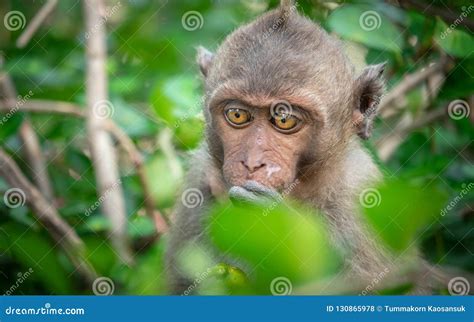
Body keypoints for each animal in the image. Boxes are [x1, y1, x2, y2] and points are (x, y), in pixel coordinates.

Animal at [167, 0, 434, 294]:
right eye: (237, 115)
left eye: (284, 119)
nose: (253, 162)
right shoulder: (199, 182)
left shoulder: (361, 197)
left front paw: (276, 228)